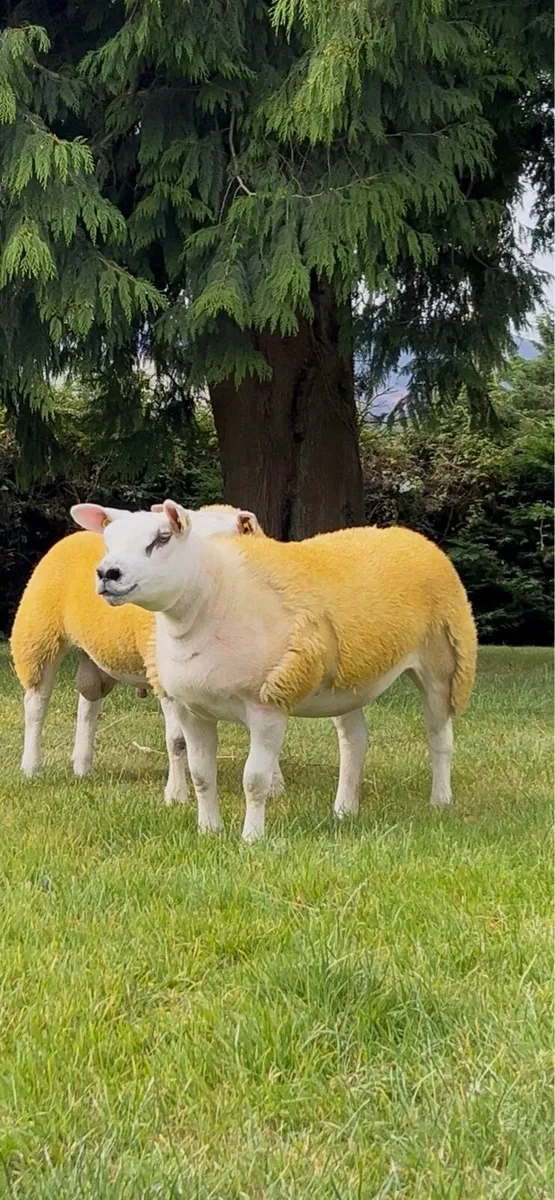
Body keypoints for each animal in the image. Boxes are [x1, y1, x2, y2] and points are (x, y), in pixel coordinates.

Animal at [10, 503, 283, 804]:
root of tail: (74, 536)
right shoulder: (166, 679)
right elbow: (177, 741)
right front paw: (176, 795)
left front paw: (275, 786)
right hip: (37, 635)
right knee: (36, 705)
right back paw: (32, 768)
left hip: (94, 653)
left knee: (88, 705)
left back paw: (82, 765)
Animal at [72, 498, 478, 841]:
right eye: (108, 541)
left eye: (161, 538)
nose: (108, 573)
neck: (216, 597)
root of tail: (409, 535)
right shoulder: (193, 709)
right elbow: (201, 775)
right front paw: (209, 832)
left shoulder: (268, 703)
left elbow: (255, 780)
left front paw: (252, 839)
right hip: (347, 679)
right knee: (355, 741)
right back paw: (344, 810)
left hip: (443, 662)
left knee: (439, 736)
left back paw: (440, 801)